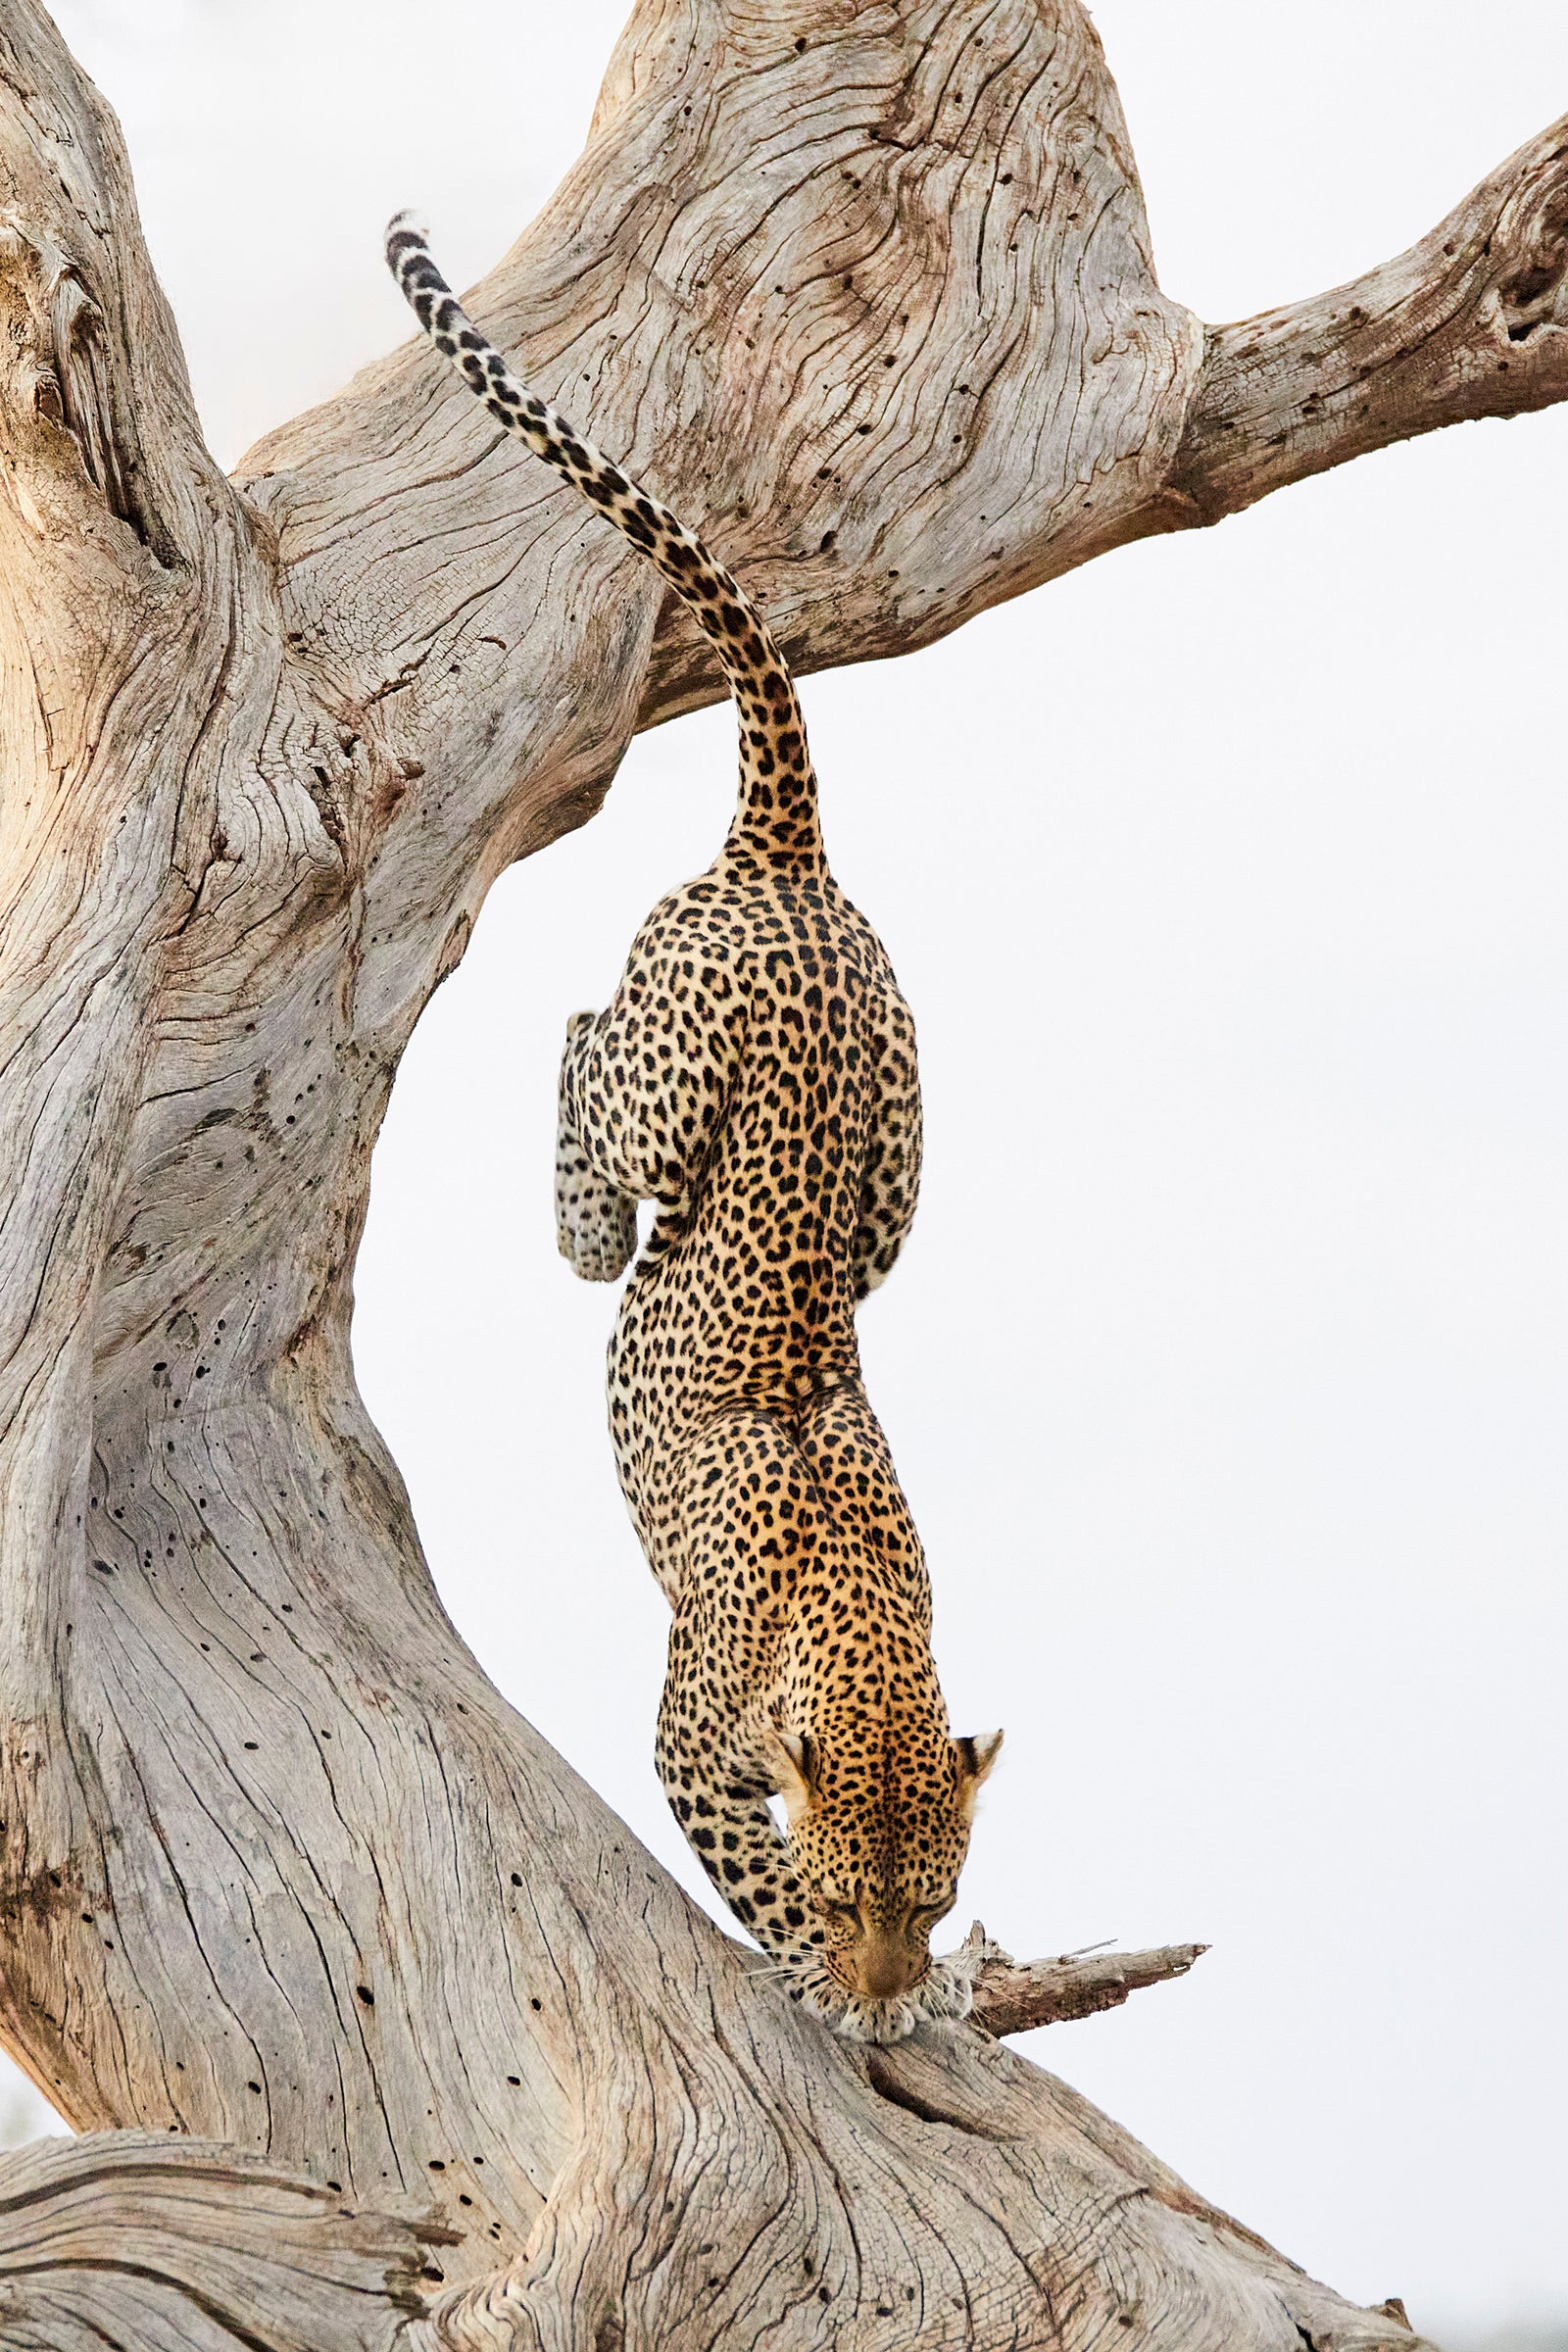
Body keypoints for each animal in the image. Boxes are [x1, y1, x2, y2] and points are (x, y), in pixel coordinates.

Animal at [388, 217, 1002, 2044]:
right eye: (862, 1895)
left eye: (939, 1899)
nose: (898, 1969)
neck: (856, 1610)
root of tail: (790, 862)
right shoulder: (690, 1744)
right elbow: (749, 1865)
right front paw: (830, 1988)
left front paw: (919, 2002)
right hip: (674, 1090)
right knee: (583, 1047)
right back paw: (585, 1216)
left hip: (896, 1178)